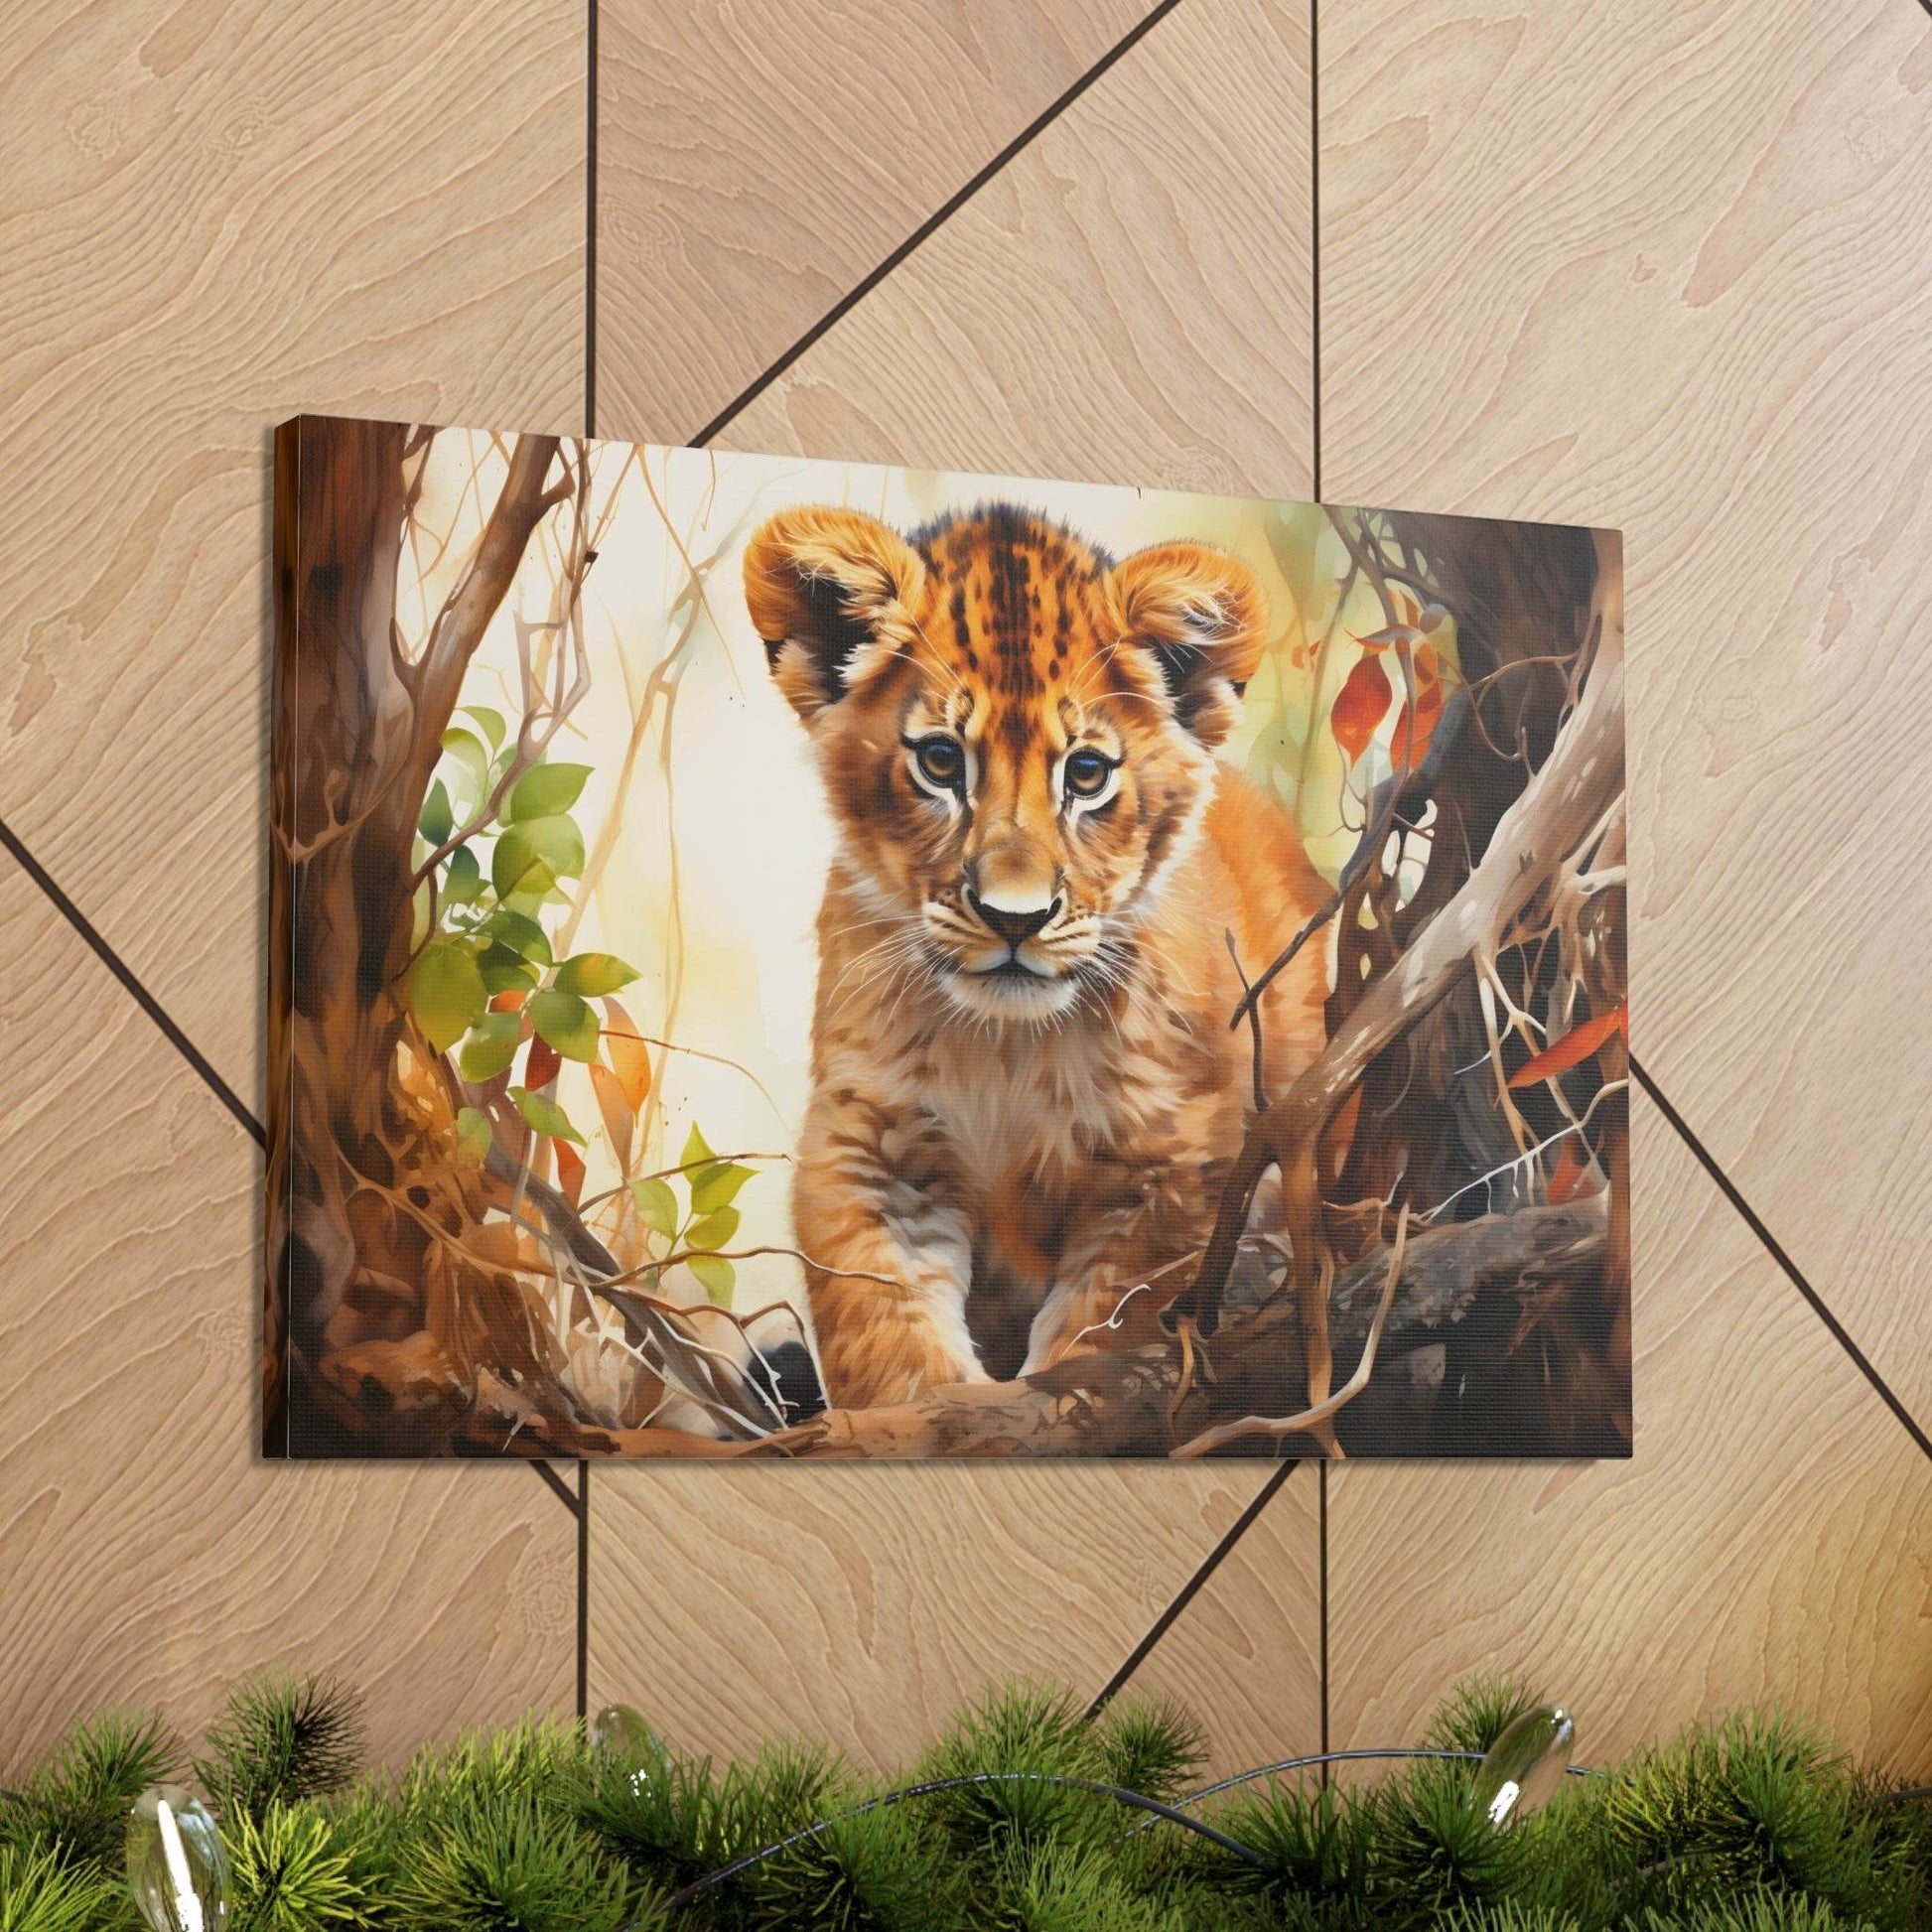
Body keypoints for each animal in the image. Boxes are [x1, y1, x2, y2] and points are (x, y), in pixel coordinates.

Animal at [743, 502, 1331, 1411]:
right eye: (940, 760)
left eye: (1086, 774)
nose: (1013, 919)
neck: (1006, 1048)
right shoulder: (870, 1146)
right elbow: (885, 1334)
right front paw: (933, 1415)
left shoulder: (1171, 1166)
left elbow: (1106, 1333)